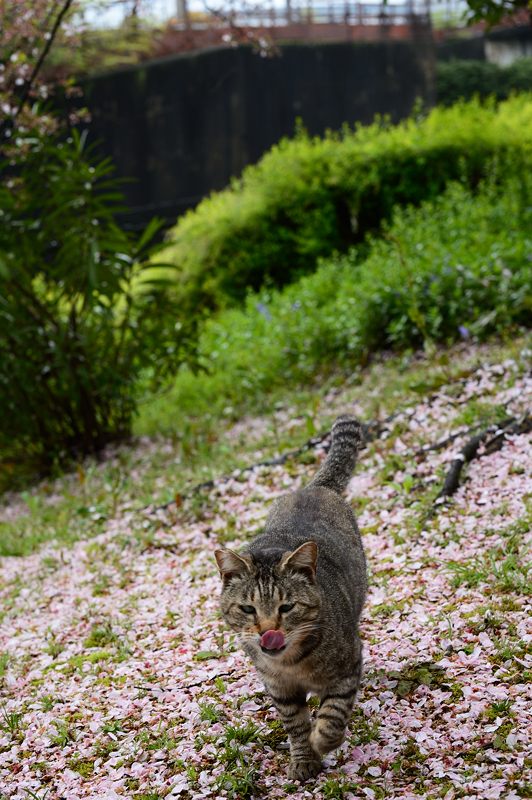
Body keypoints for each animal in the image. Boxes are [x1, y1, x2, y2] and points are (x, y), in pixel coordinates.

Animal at [214, 418, 368, 780]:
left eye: (287, 607)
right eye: (248, 609)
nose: (267, 632)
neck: (292, 664)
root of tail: (312, 487)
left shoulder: (348, 666)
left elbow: (333, 715)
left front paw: (322, 741)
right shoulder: (280, 689)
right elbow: (296, 725)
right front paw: (304, 759)